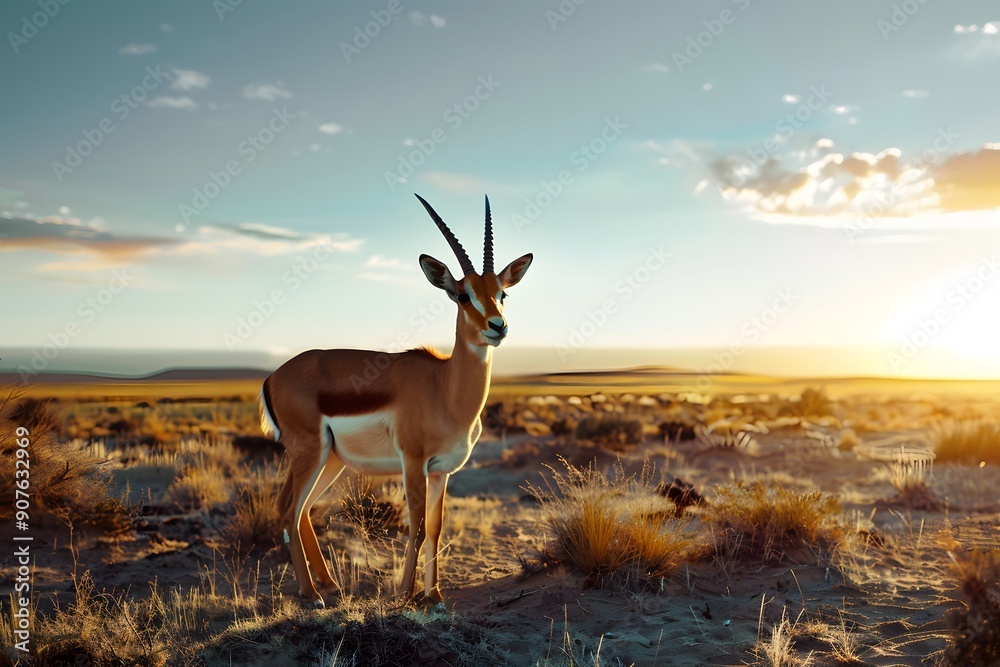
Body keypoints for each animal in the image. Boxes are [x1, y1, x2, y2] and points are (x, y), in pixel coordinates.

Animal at [259, 194, 532, 607]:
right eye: (462, 295)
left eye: (502, 293)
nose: (497, 326)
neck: (444, 389)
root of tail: (272, 376)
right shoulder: (413, 463)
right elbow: (415, 527)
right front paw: (404, 594)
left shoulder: (440, 471)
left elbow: (435, 528)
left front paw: (434, 594)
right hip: (310, 453)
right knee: (290, 512)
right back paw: (313, 595)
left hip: (330, 461)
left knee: (301, 509)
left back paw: (331, 585)